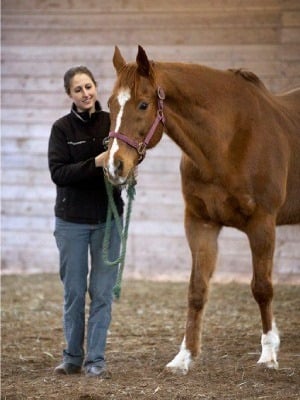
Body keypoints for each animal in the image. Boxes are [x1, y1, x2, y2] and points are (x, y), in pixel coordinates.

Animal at [99, 45, 300, 374]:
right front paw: (184, 357)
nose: (114, 166)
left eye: (143, 104)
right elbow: (196, 289)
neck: (228, 141)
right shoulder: (200, 223)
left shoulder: (262, 224)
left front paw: (269, 353)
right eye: (111, 104)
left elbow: (262, 288)